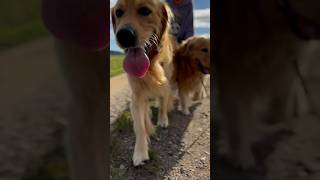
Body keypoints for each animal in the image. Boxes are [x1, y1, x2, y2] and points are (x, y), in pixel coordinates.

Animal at [110, 0, 175, 166]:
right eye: (118, 12)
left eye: (145, 10)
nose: (124, 35)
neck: (151, 65)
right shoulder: (137, 95)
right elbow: (140, 125)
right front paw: (140, 152)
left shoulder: (166, 86)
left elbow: (163, 104)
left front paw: (163, 119)